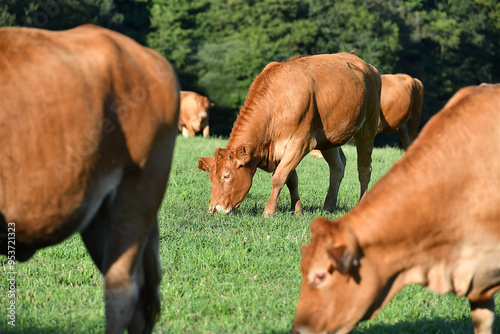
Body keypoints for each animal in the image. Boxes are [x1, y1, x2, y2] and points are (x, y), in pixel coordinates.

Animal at [197, 52, 380, 217]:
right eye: (211, 178)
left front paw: (269, 211)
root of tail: (367, 66)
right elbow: (291, 179)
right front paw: (297, 210)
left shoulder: (300, 143)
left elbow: (279, 177)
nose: (214, 209)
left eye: (226, 176)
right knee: (337, 167)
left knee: (364, 169)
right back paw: (328, 206)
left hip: (368, 128)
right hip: (328, 139)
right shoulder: (281, 149)